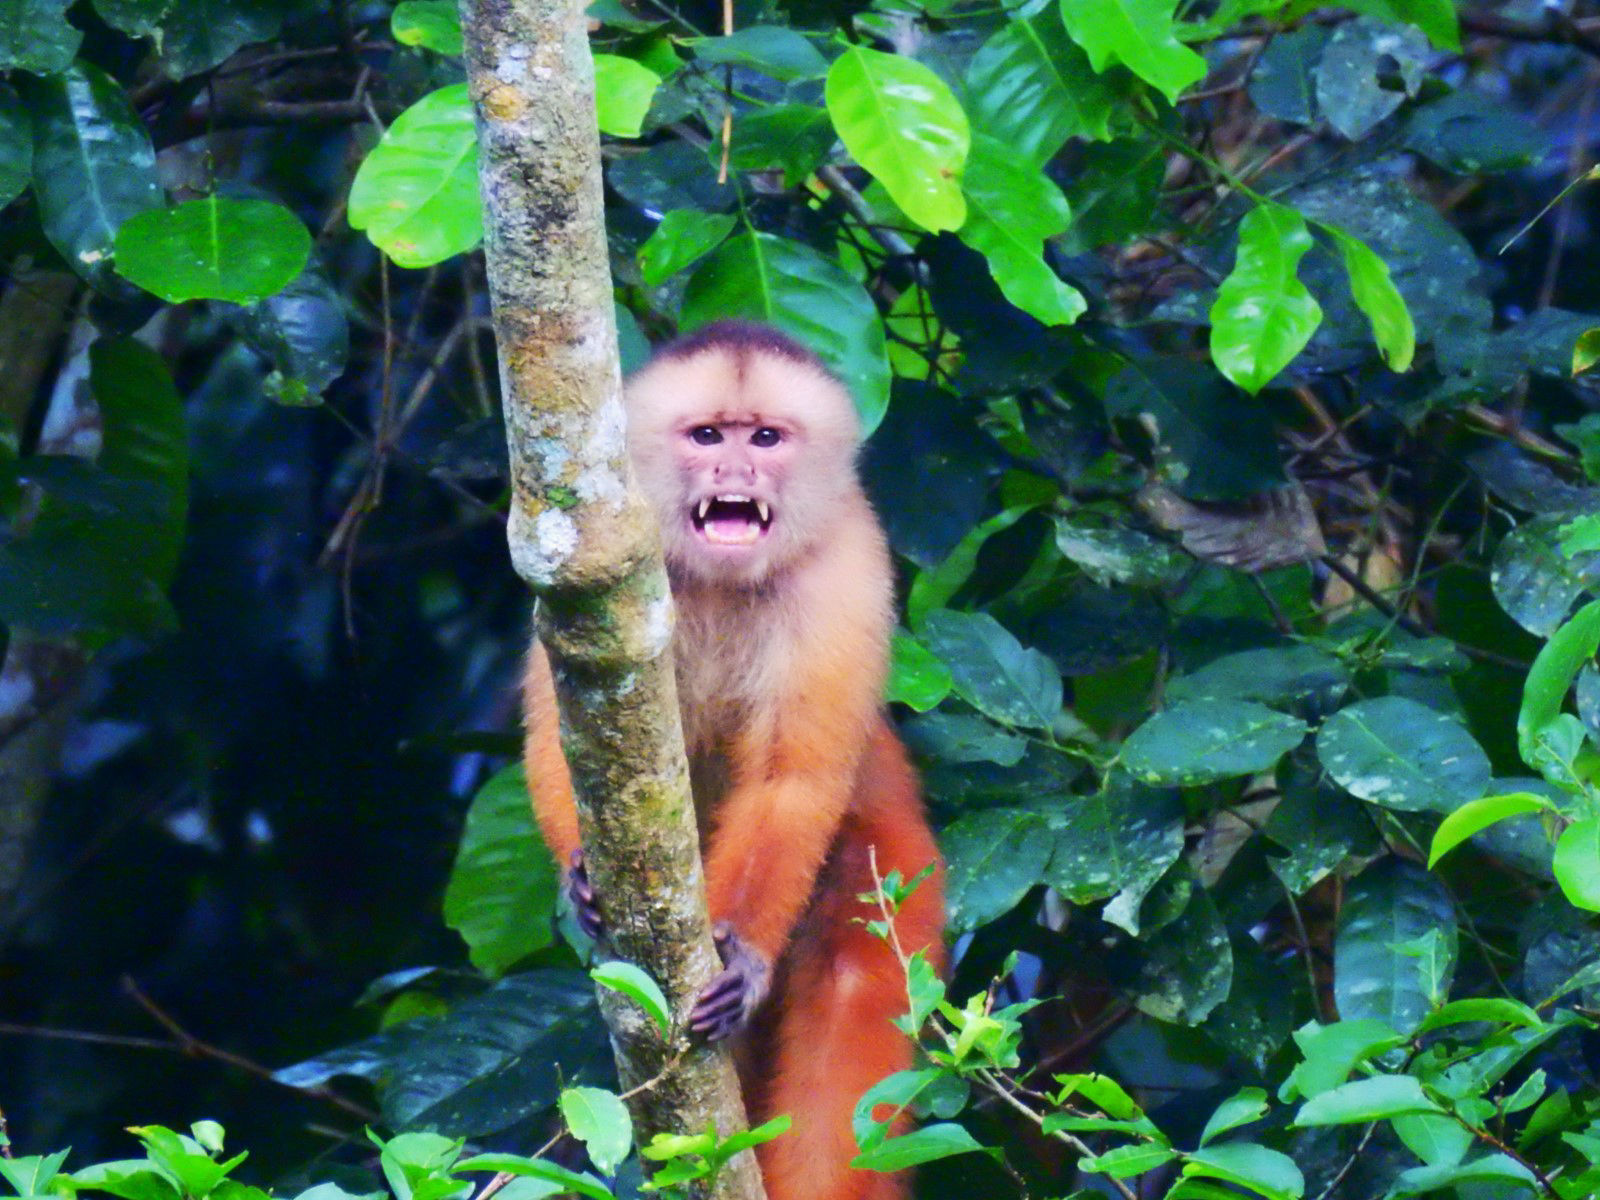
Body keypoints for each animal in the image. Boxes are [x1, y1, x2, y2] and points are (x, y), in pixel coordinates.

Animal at [523, 320, 945, 1200]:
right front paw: (581, 881)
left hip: (895, 867)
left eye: (766, 439)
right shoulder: (577, 572)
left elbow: (794, 780)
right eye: (709, 437)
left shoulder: (847, 573)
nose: (736, 475)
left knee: (852, 1004)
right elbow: (554, 739)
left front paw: (742, 955)